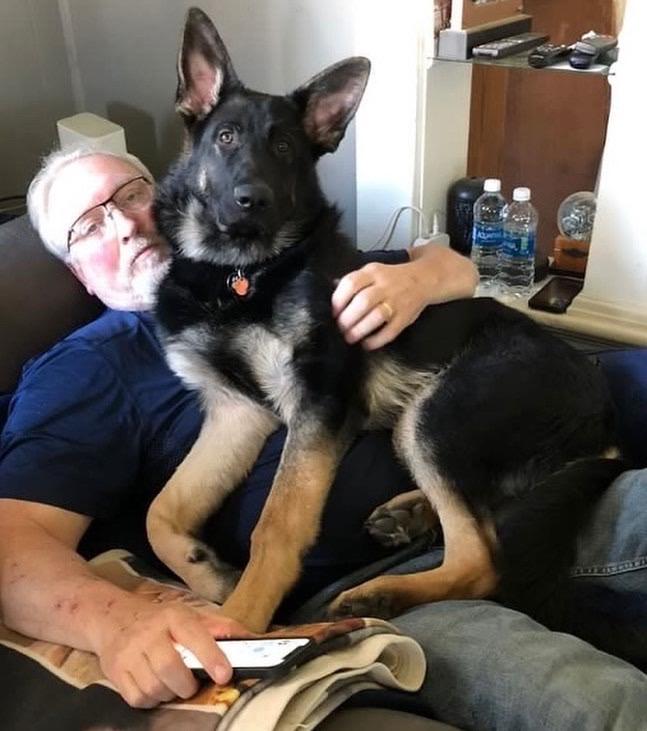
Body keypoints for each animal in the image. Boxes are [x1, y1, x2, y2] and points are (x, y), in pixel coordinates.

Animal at [146, 7, 622, 633]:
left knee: (479, 559)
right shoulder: (235, 412)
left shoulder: (318, 403)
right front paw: (206, 572)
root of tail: (605, 415)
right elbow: (160, 510)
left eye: (284, 148)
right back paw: (409, 516)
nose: (254, 201)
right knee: (482, 512)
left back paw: (381, 594)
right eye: (225, 139)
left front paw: (240, 626)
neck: (238, 273)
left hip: (438, 414)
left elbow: (275, 525)